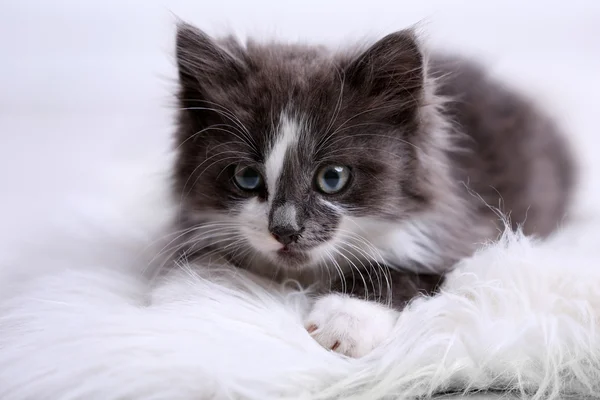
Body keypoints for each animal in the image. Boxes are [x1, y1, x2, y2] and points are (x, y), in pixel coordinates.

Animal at [171, 23, 576, 358]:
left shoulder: (467, 230)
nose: (284, 229)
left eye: (332, 178)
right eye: (246, 177)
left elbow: (403, 269)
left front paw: (346, 320)